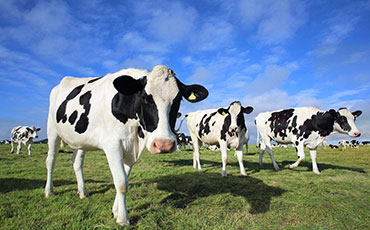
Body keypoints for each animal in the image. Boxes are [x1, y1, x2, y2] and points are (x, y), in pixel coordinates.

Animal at [44, 64, 208, 225]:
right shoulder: (113, 145)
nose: (164, 145)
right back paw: (49, 191)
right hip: (52, 131)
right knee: (51, 160)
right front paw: (123, 219)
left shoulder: (130, 149)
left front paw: (116, 211)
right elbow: (122, 182)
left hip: (81, 140)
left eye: (178, 100)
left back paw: (83, 192)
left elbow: (125, 178)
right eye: (145, 98)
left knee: (77, 161)